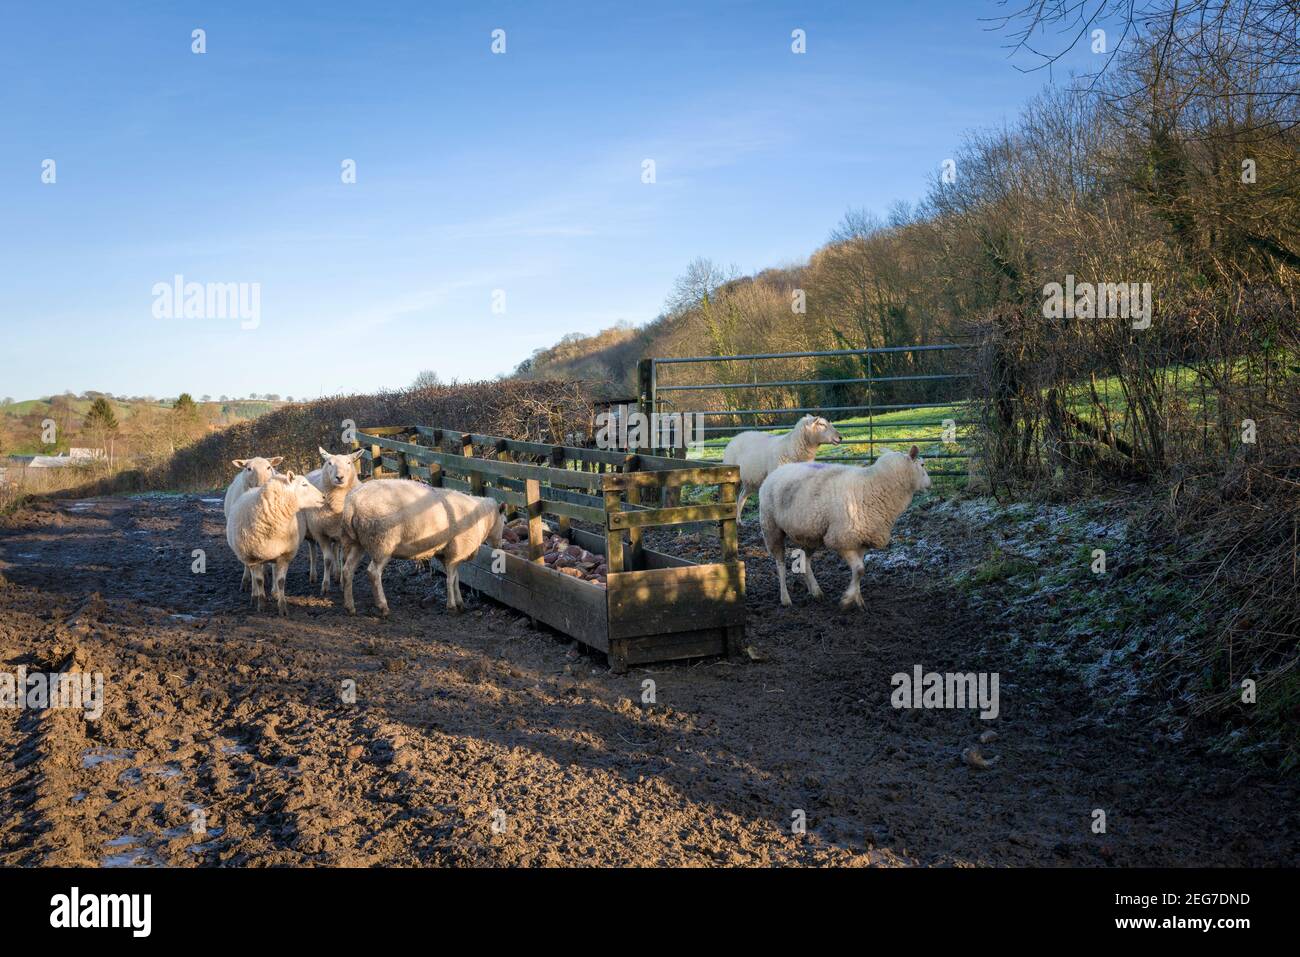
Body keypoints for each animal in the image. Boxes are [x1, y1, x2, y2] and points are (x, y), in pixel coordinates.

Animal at [226, 468, 325, 613]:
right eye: (303, 484)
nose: (324, 497)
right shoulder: (254, 557)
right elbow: (259, 581)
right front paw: (261, 605)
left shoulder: (284, 555)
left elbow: (281, 581)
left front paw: (282, 606)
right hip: (250, 555)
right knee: (254, 576)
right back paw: (254, 596)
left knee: (272, 570)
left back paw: (274, 592)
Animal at [302, 447, 364, 590]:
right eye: (329, 463)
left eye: (348, 462)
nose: (339, 477)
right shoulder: (321, 533)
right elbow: (327, 560)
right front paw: (325, 586)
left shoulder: (345, 534)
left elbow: (344, 559)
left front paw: (343, 582)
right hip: (311, 530)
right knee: (313, 551)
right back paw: (313, 576)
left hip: (336, 533)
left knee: (335, 549)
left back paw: (336, 574)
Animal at [340, 478, 506, 621]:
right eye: (504, 521)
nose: (500, 546)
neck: (481, 519)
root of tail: (351, 504)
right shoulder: (455, 553)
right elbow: (451, 579)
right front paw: (452, 606)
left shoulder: (448, 554)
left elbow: (456, 578)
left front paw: (460, 603)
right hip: (382, 543)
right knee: (373, 573)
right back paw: (383, 607)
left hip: (357, 542)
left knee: (347, 570)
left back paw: (350, 607)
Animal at [759, 444, 930, 608]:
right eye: (922, 464)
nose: (930, 483)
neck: (874, 485)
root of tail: (778, 470)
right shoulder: (841, 539)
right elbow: (859, 570)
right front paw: (847, 600)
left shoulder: (861, 541)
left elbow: (859, 571)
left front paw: (858, 600)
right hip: (771, 528)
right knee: (780, 564)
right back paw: (785, 598)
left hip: (811, 534)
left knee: (805, 561)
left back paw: (816, 591)